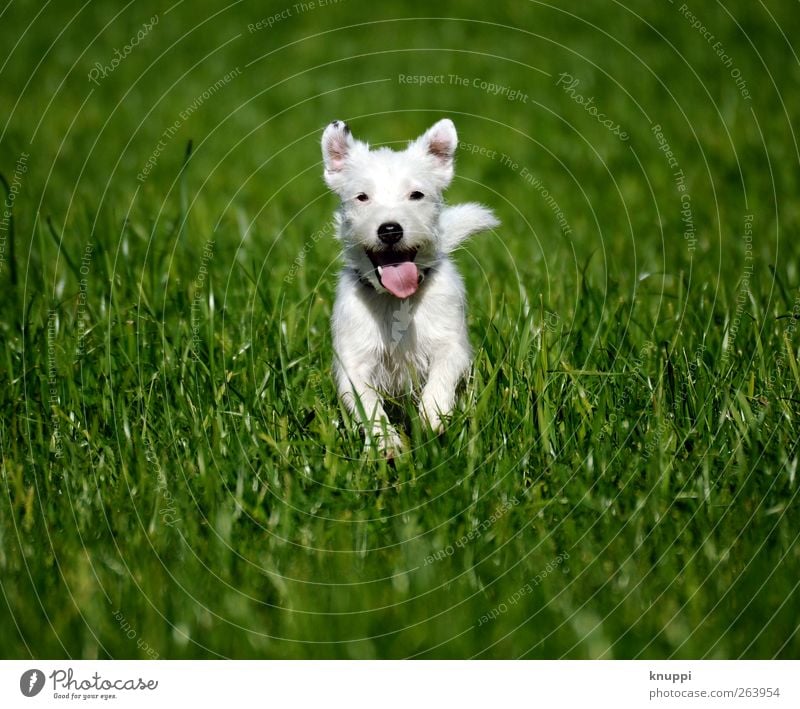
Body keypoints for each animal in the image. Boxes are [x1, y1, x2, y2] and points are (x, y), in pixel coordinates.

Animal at [320, 117, 496, 454]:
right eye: (362, 197)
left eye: (416, 195)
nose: (390, 230)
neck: (395, 299)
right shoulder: (353, 363)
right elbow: (368, 403)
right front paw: (386, 441)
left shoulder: (452, 346)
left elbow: (442, 376)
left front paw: (431, 415)